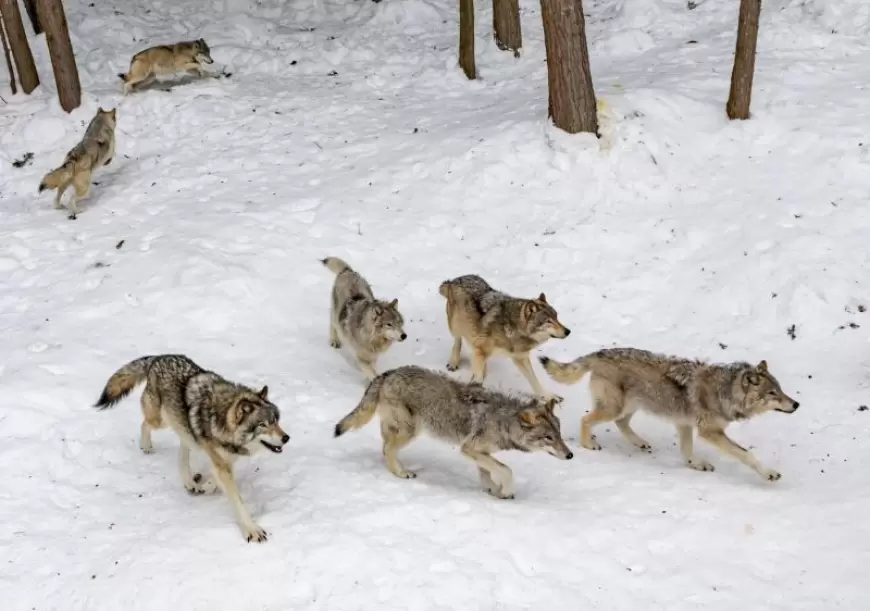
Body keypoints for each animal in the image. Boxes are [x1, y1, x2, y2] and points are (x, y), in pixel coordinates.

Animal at [93, 356, 290, 544]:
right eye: (263, 425)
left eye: (276, 421)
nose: (286, 438)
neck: (221, 420)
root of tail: (158, 358)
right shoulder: (221, 462)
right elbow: (237, 500)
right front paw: (251, 530)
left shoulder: (225, 459)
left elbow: (215, 479)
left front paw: (206, 486)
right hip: (161, 421)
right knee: (145, 424)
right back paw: (146, 446)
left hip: (183, 429)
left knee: (183, 449)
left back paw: (190, 482)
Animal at [334, 366, 572, 500]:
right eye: (548, 438)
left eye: (559, 434)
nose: (570, 455)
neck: (503, 421)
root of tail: (387, 373)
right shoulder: (468, 449)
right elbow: (506, 470)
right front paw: (504, 490)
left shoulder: (479, 452)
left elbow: (487, 473)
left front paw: (494, 491)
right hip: (410, 431)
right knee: (387, 449)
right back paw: (402, 473)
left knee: (385, 447)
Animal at [436, 276, 572, 402]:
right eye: (548, 321)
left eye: (556, 318)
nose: (568, 331)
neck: (513, 328)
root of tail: (455, 280)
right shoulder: (482, 350)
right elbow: (478, 377)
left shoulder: (521, 357)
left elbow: (534, 380)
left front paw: (548, 396)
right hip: (456, 326)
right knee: (457, 342)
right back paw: (453, 363)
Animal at [540, 346, 800, 480]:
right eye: (773, 393)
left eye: (781, 390)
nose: (796, 404)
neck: (725, 392)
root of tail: (599, 353)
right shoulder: (709, 432)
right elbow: (746, 454)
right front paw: (768, 473)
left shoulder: (684, 424)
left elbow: (686, 450)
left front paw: (695, 464)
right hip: (614, 408)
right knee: (586, 419)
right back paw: (589, 444)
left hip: (630, 407)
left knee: (621, 424)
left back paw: (640, 442)